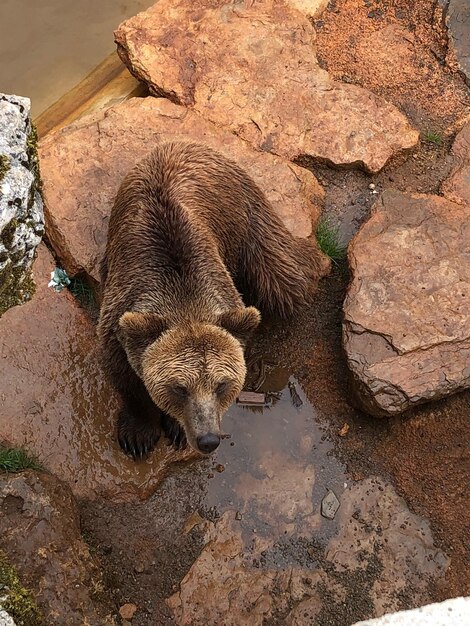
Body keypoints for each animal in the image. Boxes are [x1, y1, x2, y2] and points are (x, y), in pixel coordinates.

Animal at [98, 139, 326, 456]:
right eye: (179, 387)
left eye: (221, 384)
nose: (208, 439)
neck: (183, 298)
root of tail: (182, 143)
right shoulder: (121, 312)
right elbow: (126, 378)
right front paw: (138, 435)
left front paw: (174, 429)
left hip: (242, 217)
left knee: (284, 278)